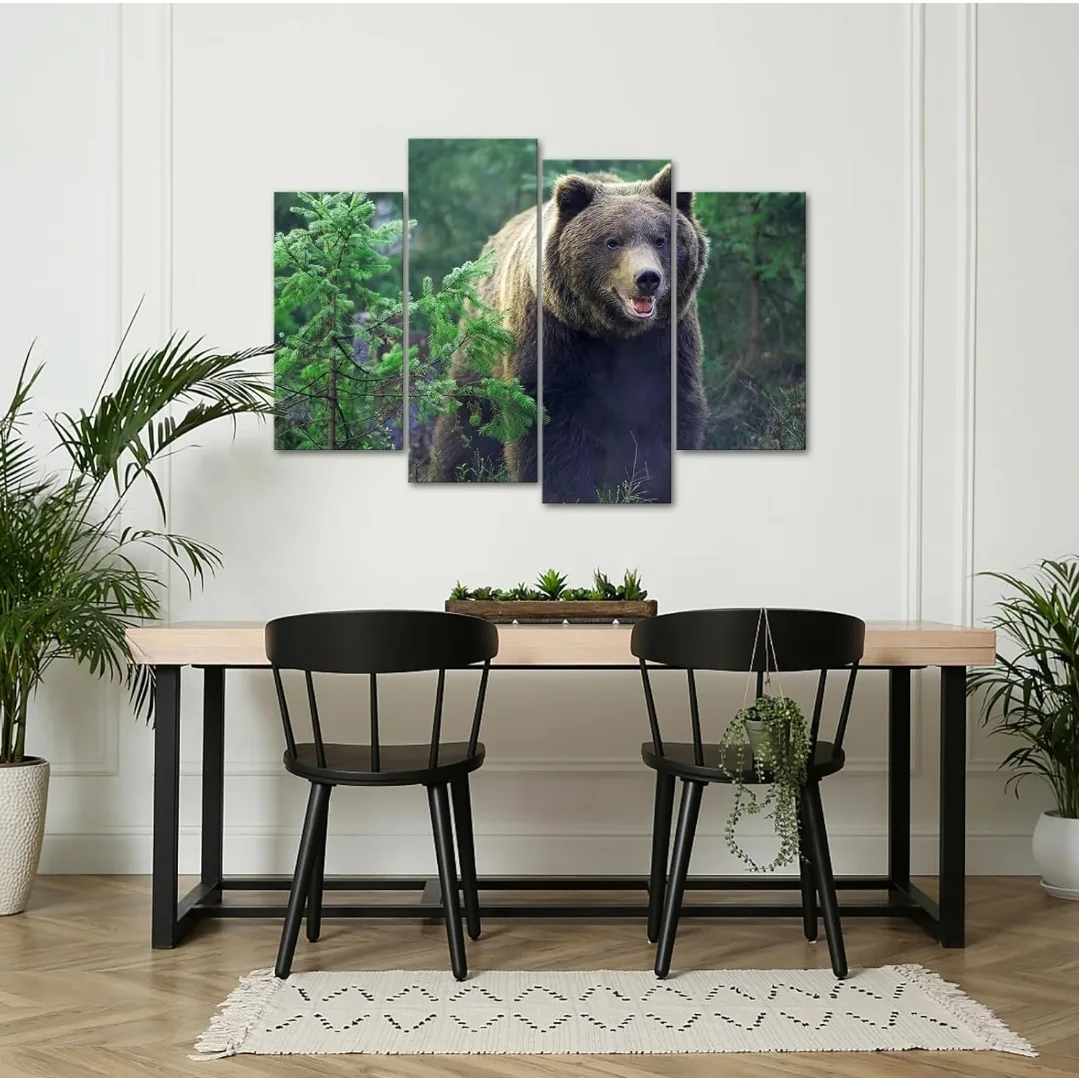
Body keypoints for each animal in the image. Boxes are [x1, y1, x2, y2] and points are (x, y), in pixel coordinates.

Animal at [429, 164, 709, 499]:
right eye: (612, 241)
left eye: (661, 239)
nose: (647, 278)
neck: (612, 331)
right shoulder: (554, 336)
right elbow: (550, 428)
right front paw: (566, 490)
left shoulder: (666, 340)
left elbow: (665, 417)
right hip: (482, 348)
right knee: (466, 418)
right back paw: (455, 470)